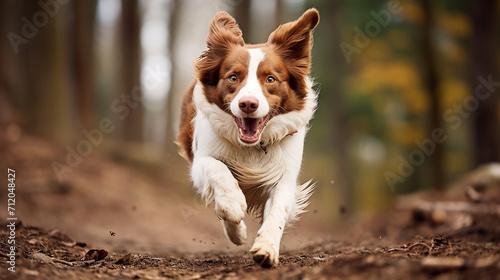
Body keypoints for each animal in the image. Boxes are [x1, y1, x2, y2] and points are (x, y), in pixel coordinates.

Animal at [178, 8, 318, 266]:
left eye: (270, 79)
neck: (254, 146)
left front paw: (267, 248)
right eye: (233, 77)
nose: (248, 104)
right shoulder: (200, 161)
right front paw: (233, 205)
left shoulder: (284, 177)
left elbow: (277, 212)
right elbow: (218, 170)